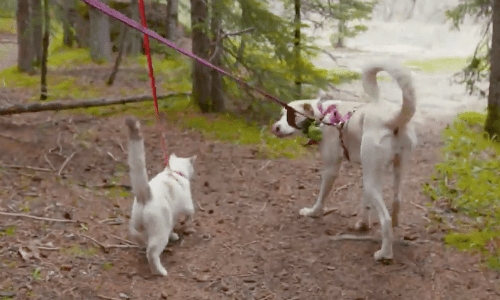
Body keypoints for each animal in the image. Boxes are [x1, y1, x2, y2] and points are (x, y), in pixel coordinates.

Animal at [124, 116, 196, 276]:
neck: (174, 171)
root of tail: (146, 195)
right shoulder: (188, 205)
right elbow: (190, 214)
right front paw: (183, 227)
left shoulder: (173, 214)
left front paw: (174, 234)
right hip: (160, 232)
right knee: (151, 253)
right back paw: (160, 271)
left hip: (135, 227)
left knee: (141, 241)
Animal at [272, 60, 416, 260]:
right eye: (281, 114)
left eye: (291, 116)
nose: (275, 128)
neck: (323, 115)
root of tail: (392, 118)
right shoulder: (365, 170)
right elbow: (365, 203)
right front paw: (363, 224)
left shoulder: (331, 169)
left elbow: (321, 197)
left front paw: (313, 213)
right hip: (394, 169)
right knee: (396, 201)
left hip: (373, 179)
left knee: (385, 219)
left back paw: (385, 254)